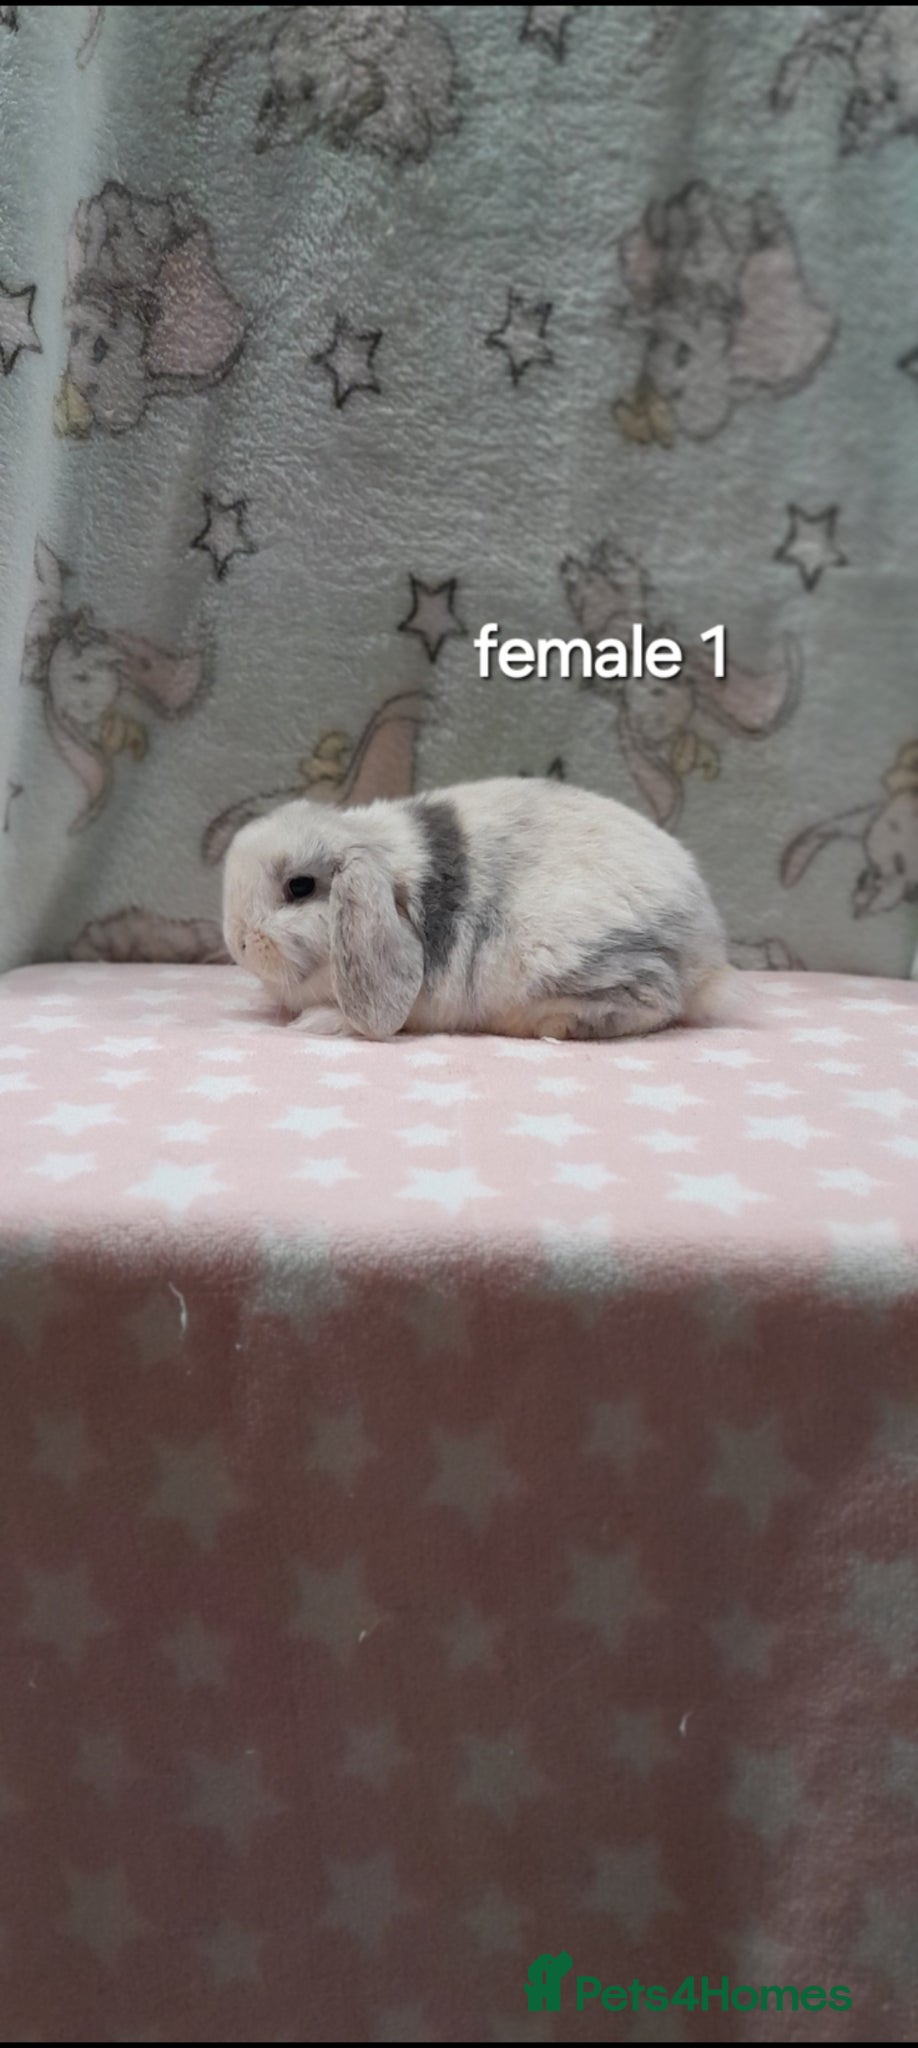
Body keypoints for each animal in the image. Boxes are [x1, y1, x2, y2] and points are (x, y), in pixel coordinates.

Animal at [222, 776, 743, 1041]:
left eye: (300, 886)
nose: (239, 941)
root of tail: (707, 952)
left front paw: (316, 1021)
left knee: (656, 1003)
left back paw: (551, 1027)